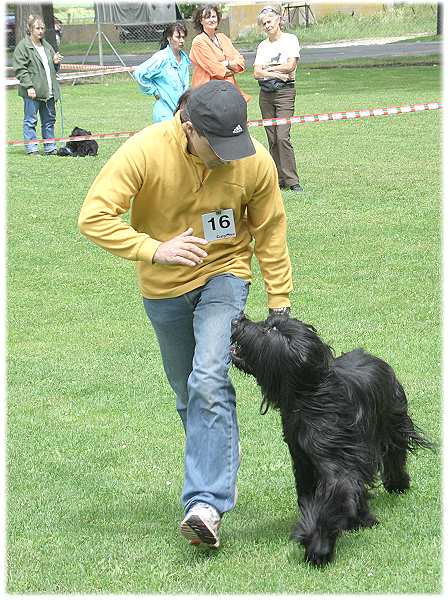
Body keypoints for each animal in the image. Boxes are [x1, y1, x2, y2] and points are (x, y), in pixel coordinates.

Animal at [229, 314, 432, 568]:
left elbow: (333, 496)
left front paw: (319, 547)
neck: (309, 395)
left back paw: (397, 485)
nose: (237, 320)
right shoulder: (303, 461)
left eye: (270, 330)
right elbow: (312, 497)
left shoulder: (337, 459)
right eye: (268, 322)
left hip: (392, 418)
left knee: (395, 454)